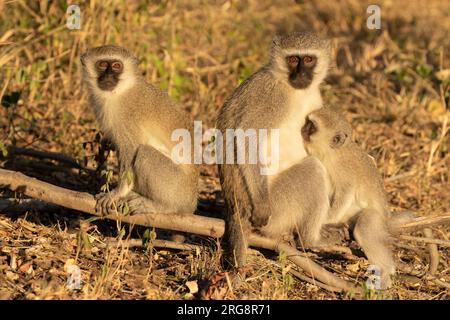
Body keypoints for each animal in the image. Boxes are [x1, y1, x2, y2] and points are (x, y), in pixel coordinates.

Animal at [80, 45, 199, 215]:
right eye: (102, 65)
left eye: (116, 66)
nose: (108, 76)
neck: (120, 90)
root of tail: (192, 202)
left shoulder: (127, 118)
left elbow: (131, 150)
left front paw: (117, 193)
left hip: (176, 188)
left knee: (145, 153)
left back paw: (163, 206)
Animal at [216, 32, 332, 268]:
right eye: (293, 60)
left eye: (308, 59)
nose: (301, 74)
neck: (294, 90)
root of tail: (236, 213)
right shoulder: (272, 96)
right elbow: (248, 134)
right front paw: (261, 206)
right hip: (278, 208)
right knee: (314, 170)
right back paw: (310, 240)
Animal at [302, 107, 394, 288]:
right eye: (307, 122)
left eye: (312, 127)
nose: (302, 130)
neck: (333, 153)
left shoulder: (343, 169)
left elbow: (346, 192)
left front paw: (325, 220)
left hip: (377, 220)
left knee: (365, 227)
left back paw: (388, 271)